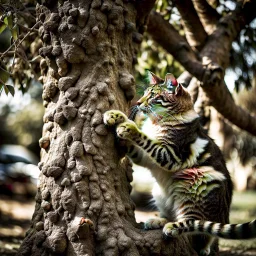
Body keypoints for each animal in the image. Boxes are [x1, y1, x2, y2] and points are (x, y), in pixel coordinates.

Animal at [102, 72, 256, 256]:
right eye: (144, 93)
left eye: (152, 96)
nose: (138, 103)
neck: (157, 123)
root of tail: (224, 217)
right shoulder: (145, 157)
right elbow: (136, 144)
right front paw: (116, 116)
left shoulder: (170, 155)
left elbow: (145, 138)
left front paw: (129, 127)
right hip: (160, 194)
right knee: (180, 219)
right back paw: (158, 221)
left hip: (195, 181)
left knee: (196, 228)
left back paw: (174, 228)